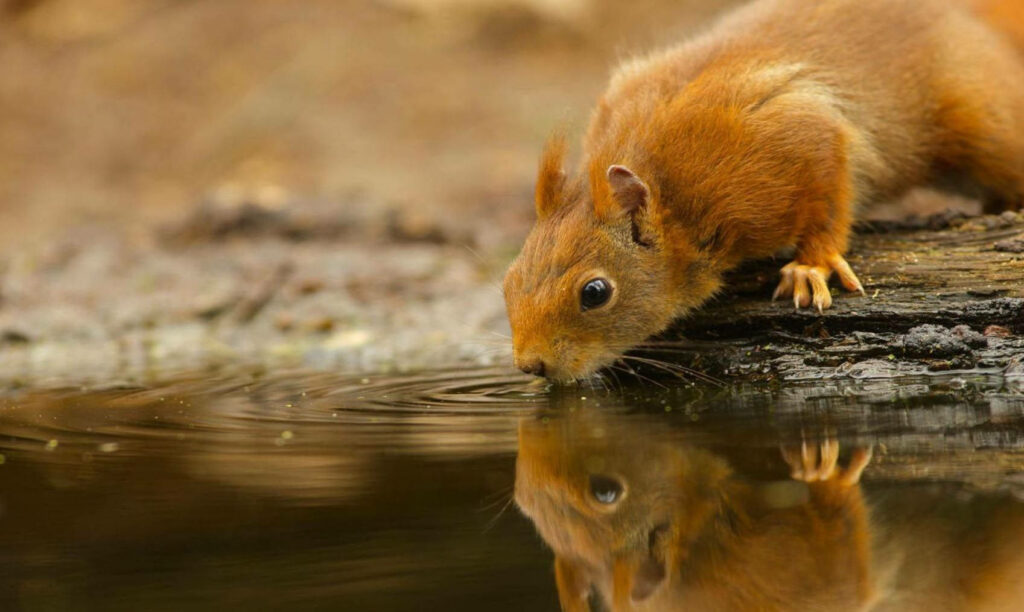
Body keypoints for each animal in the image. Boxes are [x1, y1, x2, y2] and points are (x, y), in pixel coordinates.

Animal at [503, 0, 1024, 382]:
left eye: (595, 292)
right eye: (507, 281)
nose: (532, 366)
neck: (674, 200)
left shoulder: (792, 136)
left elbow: (830, 194)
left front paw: (813, 264)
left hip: (982, 122)